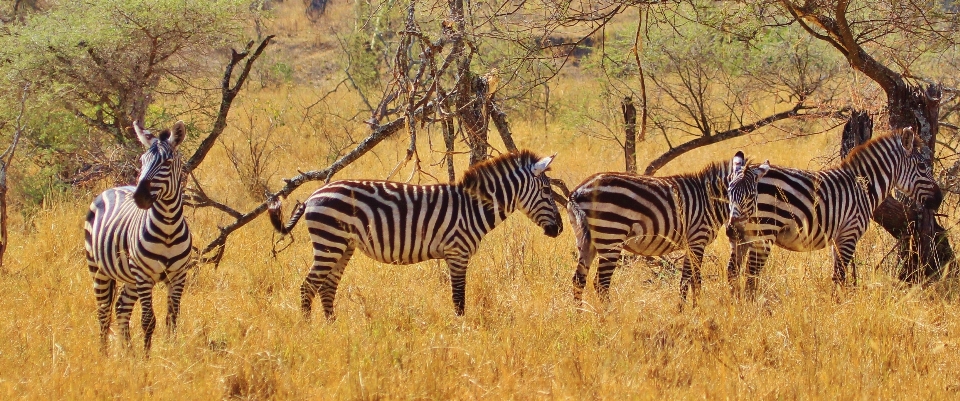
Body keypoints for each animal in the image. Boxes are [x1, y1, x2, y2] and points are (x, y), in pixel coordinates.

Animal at [85, 119, 192, 354]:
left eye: (167, 162)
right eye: (142, 161)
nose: (139, 197)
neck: (168, 227)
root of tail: (112, 188)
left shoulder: (178, 275)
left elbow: (172, 318)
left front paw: (170, 352)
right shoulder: (144, 275)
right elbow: (148, 320)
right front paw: (146, 357)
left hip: (130, 277)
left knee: (121, 307)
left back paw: (128, 352)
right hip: (99, 269)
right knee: (103, 312)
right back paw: (104, 354)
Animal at [266, 150, 564, 318]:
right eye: (546, 191)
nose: (559, 229)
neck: (473, 208)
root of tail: (312, 195)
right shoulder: (457, 253)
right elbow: (459, 299)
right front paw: (462, 333)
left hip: (343, 245)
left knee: (327, 287)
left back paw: (332, 328)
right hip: (330, 241)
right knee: (308, 287)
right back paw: (308, 330)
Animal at [568, 154, 748, 306]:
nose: (733, 231)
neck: (709, 199)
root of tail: (577, 191)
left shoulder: (691, 244)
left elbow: (685, 279)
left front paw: (683, 310)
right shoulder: (698, 239)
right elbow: (695, 279)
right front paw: (697, 310)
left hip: (586, 239)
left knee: (579, 279)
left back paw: (581, 316)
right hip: (611, 235)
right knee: (601, 283)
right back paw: (609, 316)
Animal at [728, 127, 944, 294]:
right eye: (922, 166)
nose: (939, 199)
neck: (863, 187)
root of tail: (748, 173)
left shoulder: (836, 238)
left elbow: (837, 275)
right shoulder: (849, 233)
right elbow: (839, 275)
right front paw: (837, 308)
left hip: (740, 234)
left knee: (733, 272)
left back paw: (736, 307)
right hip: (764, 232)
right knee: (751, 275)